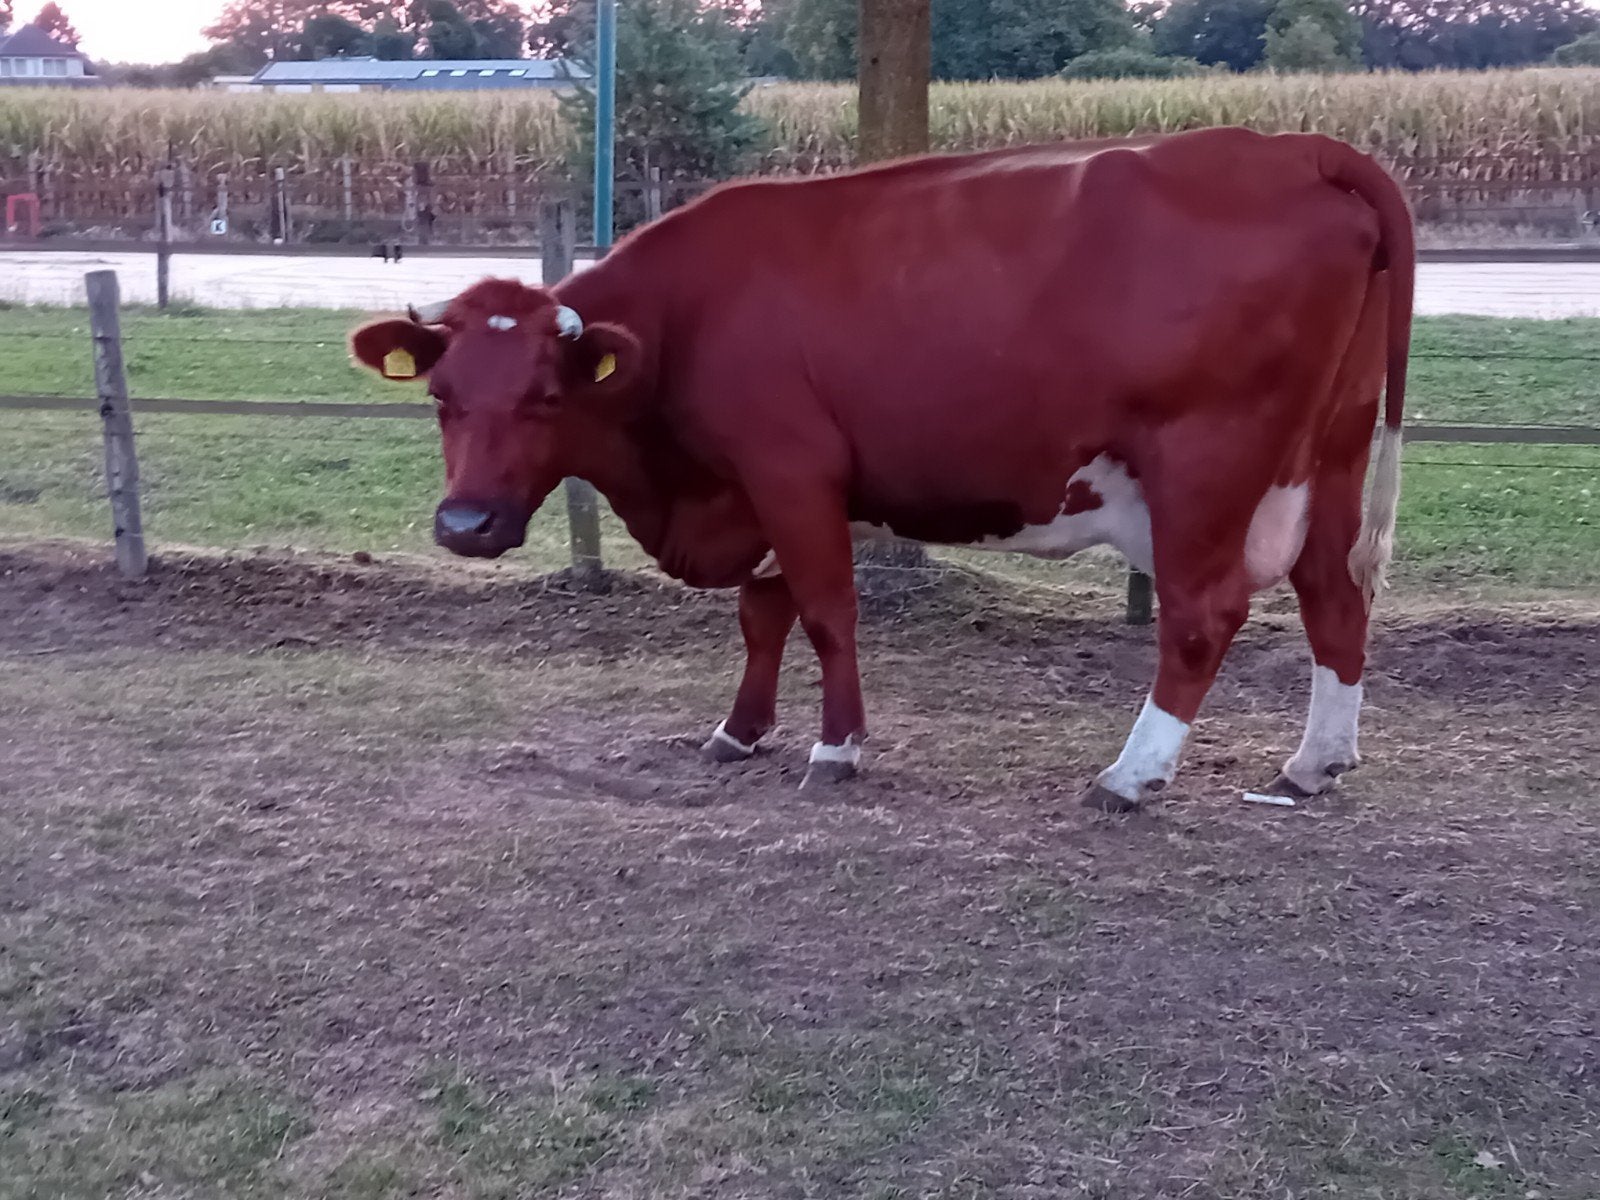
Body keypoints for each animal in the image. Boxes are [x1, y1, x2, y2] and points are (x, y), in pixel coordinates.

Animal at [349, 126, 1413, 811]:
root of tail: (1295, 145)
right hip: (1331, 454)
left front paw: (836, 749)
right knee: (1334, 597)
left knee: (1203, 613)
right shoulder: (763, 495)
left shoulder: (789, 470)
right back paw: (1314, 764)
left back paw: (1132, 775)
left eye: (546, 398)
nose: (465, 526)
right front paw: (740, 731)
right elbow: (762, 614)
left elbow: (824, 612)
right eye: (443, 396)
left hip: (1205, 461)